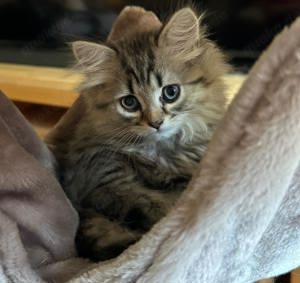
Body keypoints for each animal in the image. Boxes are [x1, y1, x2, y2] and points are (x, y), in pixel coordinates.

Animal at [46, 7, 230, 262]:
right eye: (129, 103)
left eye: (171, 92)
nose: (156, 123)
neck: (161, 153)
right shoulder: (101, 176)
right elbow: (149, 204)